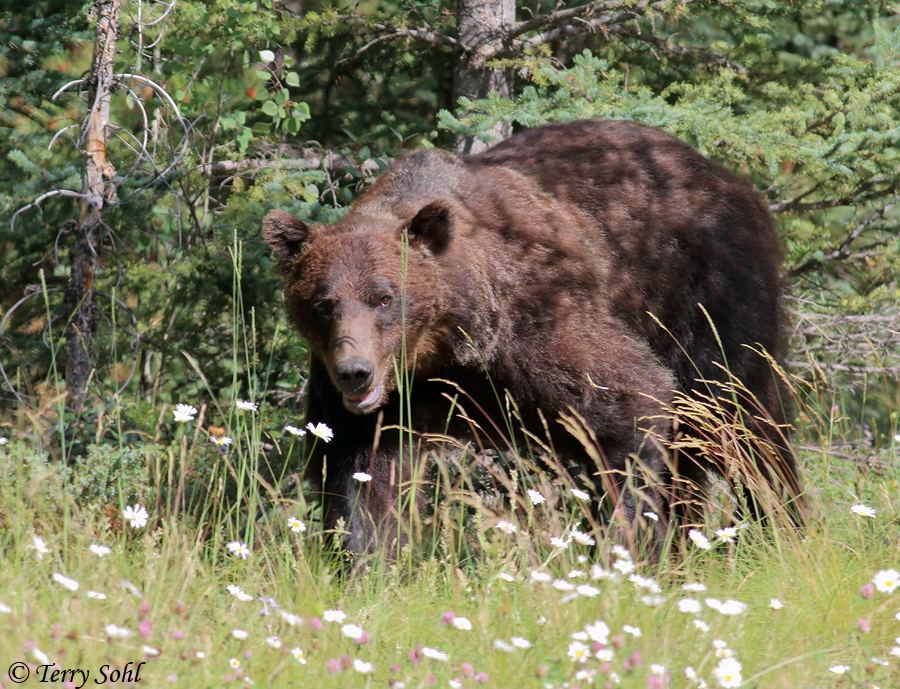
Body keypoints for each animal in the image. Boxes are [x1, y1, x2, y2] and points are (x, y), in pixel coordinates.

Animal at [263, 119, 803, 561]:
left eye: (383, 297)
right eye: (325, 303)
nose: (356, 373)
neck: (445, 344)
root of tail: (726, 175)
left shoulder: (537, 317)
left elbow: (629, 402)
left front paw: (625, 548)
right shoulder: (382, 399)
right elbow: (361, 477)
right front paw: (365, 565)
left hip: (704, 296)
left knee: (739, 419)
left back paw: (783, 529)